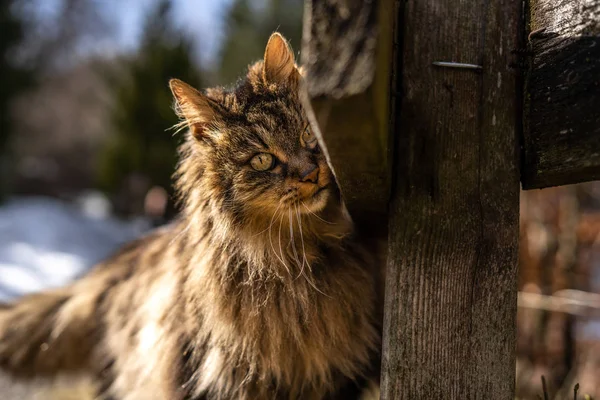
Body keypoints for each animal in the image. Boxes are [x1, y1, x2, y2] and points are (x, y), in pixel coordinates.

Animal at [0, 33, 382, 400]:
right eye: (262, 160)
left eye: (308, 134)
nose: (309, 174)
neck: (300, 262)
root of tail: (114, 266)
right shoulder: (208, 376)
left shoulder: (335, 379)